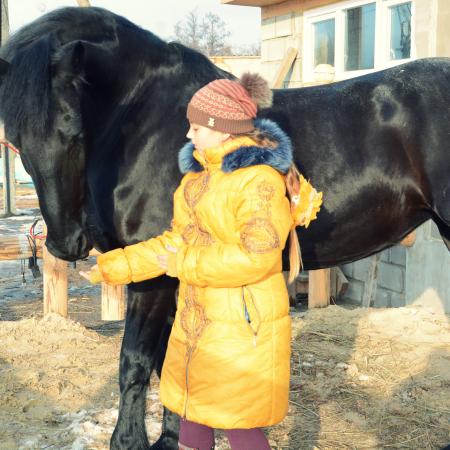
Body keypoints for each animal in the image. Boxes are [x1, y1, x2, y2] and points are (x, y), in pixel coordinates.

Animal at [0, 5, 448, 448]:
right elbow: (171, 359)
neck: (145, 125)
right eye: (17, 141)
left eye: (74, 132)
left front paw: (129, 441)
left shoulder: (154, 277)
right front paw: (171, 437)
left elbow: (136, 360)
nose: (66, 244)